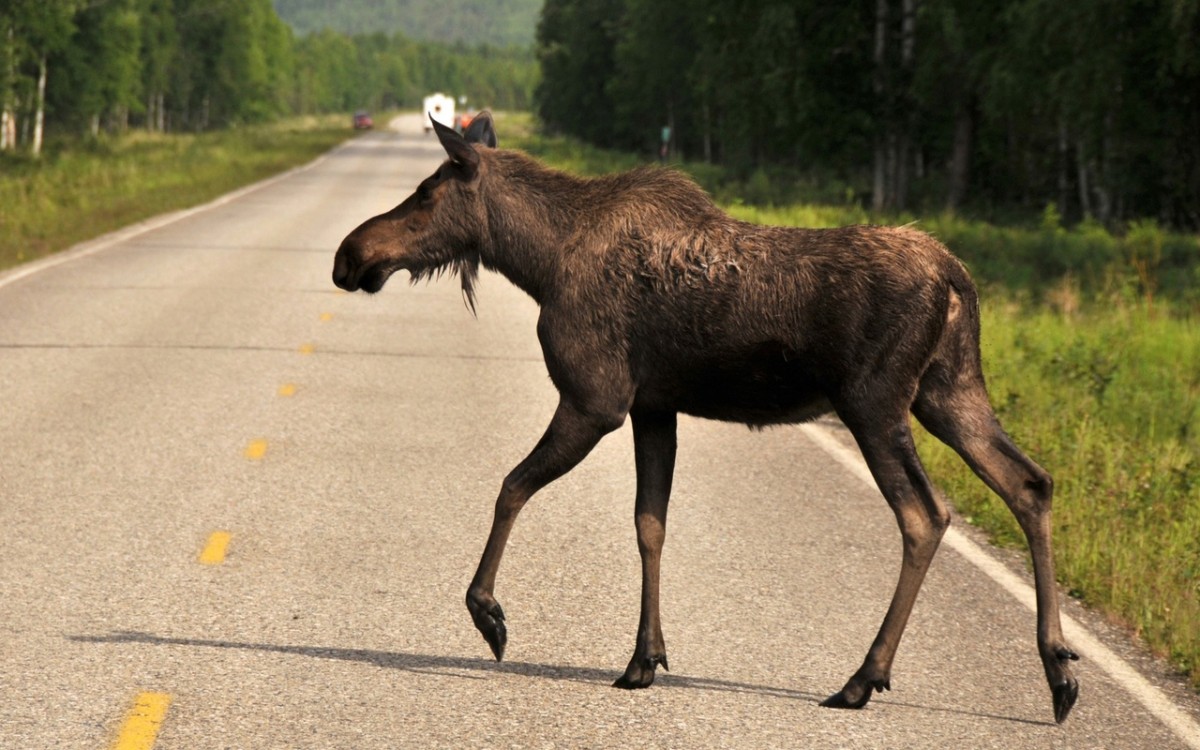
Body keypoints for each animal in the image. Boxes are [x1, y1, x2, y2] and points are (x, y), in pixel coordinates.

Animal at [333, 109, 1084, 720]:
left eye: (425, 193)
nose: (349, 255)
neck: (537, 261)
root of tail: (957, 277)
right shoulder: (653, 407)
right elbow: (649, 524)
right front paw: (644, 658)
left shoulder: (595, 400)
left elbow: (511, 486)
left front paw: (488, 613)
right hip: (950, 392)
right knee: (1030, 482)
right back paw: (1058, 673)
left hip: (876, 404)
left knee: (925, 515)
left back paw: (862, 678)